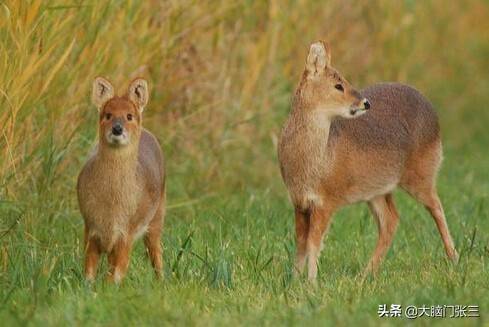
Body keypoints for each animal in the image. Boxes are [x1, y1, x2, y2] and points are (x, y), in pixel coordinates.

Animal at [77, 77, 165, 284]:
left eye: (129, 116)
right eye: (108, 115)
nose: (117, 128)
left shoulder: (127, 233)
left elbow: (116, 275)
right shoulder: (90, 228)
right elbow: (89, 273)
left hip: (157, 217)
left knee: (157, 254)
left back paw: (162, 281)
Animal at [278, 40, 458, 282]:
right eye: (338, 85)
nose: (365, 102)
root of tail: (432, 109)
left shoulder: (327, 201)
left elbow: (314, 244)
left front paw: (311, 283)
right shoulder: (300, 202)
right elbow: (301, 244)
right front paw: (293, 280)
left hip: (422, 174)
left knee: (436, 207)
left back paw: (454, 258)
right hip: (376, 190)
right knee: (391, 221)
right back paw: (365, 274)